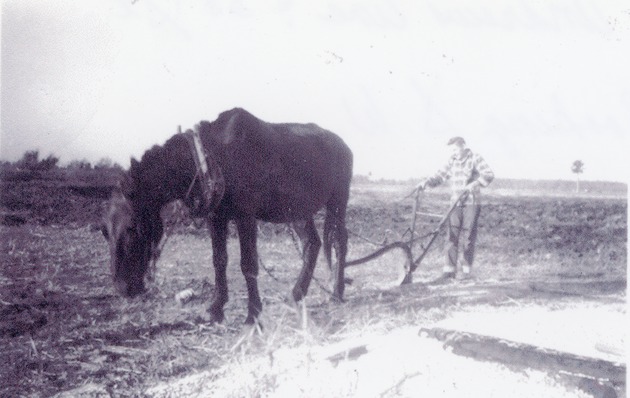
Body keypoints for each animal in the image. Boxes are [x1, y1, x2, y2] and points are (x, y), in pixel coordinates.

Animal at [101, 107, 354, 324]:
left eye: (132, 227)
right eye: (104, 231)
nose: (123, 287)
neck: (214, 158)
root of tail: (344, 145)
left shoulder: (245, 216)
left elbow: (248, 264)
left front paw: (253, 314)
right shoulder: (216, 217)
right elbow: (219, 261)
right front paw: (216, 308)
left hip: (337, 202)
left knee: (339, 241)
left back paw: (337, 291)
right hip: (299, 211)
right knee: (313, 243)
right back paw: (297, 294)